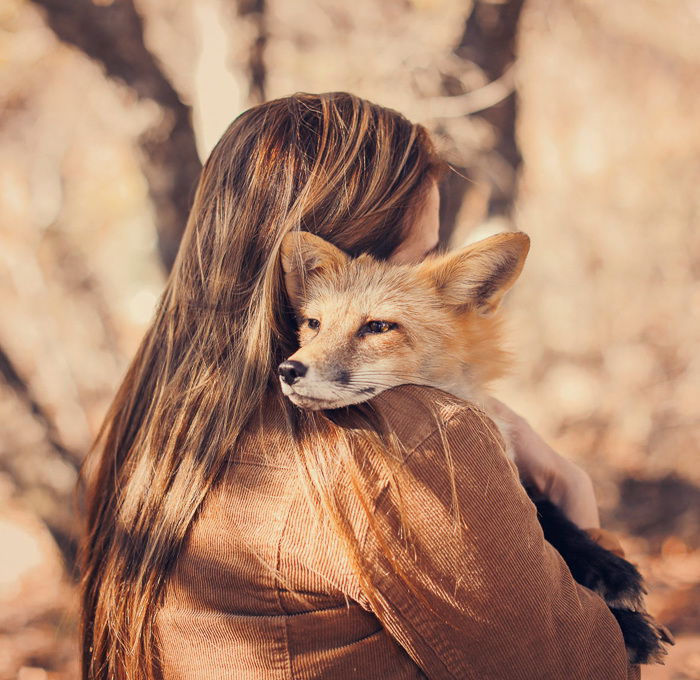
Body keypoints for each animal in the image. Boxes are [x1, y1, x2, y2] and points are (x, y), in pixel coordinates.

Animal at [278, 228, 672, 664]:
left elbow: (551, 514)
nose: (288, 370)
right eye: (314, 324)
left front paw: (609, 568)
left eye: (378, 326)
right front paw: (631, 628)